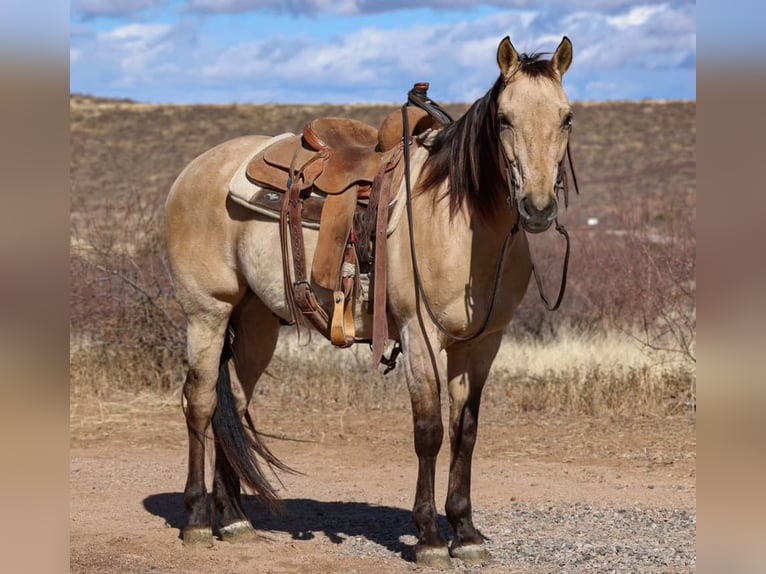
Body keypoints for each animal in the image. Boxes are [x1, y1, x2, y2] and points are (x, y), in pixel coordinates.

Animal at [165, 35, 575, 567]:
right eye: (504, 118)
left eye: (567, 117)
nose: (538, 208)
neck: (458, 219)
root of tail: (196, 170)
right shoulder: (420, 336)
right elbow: (429, 431)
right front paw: (429, 537)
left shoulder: (482, 345)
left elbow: (465, 431)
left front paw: (465, 532)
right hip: (207, 312)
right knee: (199, 403)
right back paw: (196, 519)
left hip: (255, 321)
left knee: (231, 401)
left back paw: (233, 518)